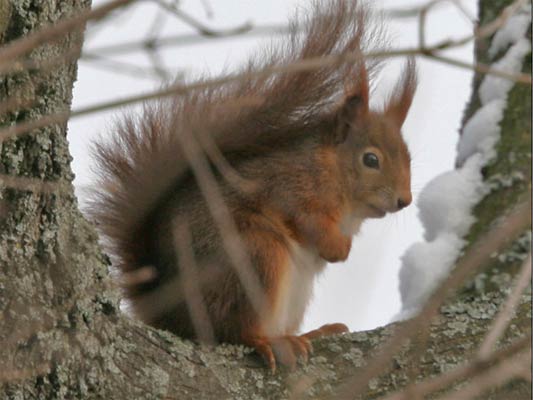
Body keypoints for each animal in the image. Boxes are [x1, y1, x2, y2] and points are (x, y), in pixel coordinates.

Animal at [88, 0, 416, 370]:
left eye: (409, 158)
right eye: (371, 160)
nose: (405, 200)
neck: (335, 177)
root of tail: (173, 318)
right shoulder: (289, 186)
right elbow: (307, 220)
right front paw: (338, 248)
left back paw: (312, 333)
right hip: (254, 256)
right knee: (234, 329)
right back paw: (267, 341)